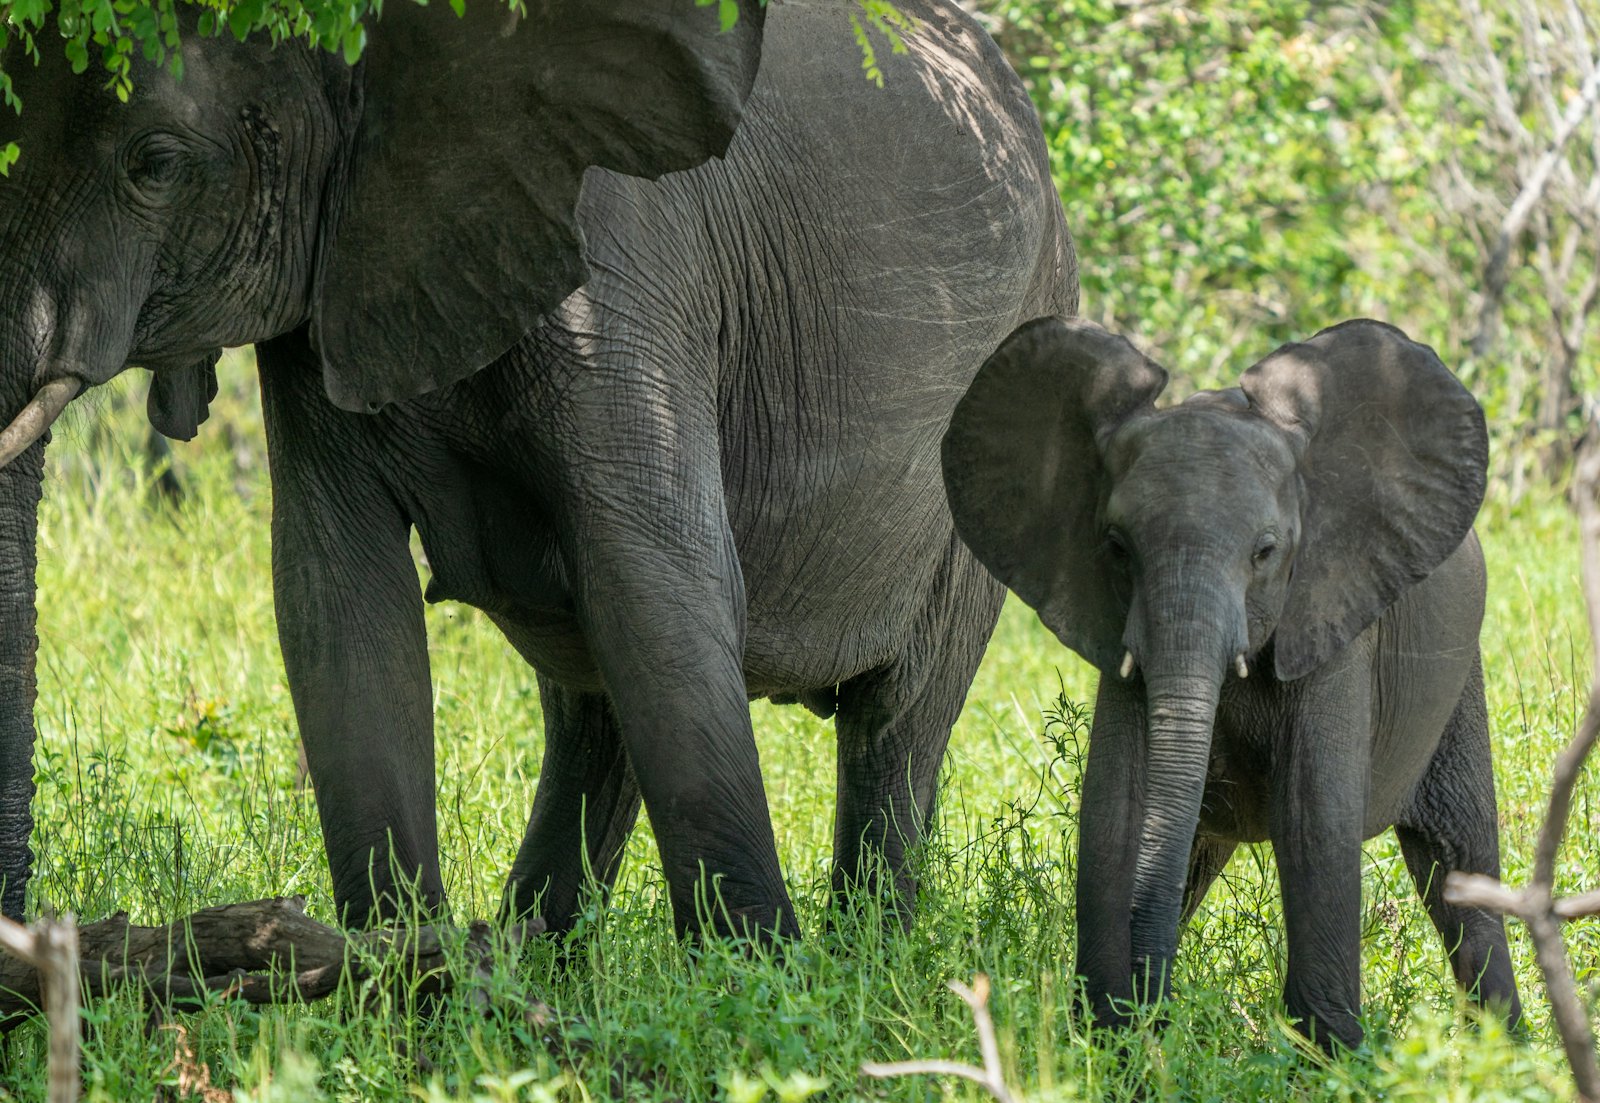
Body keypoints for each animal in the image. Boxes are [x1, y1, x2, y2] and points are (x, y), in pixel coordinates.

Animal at [0, 0, 1076, 940]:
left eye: (155, 163)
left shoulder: (625, 266)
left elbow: (659, 580)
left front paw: (760, 986)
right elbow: (340, 599)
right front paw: (404, 980)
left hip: (1014, 360)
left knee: (895, 721)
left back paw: (861, 968)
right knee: (594, 707)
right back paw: (535, 957)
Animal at [942, 317, 1521, 1051]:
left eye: (1265, 552)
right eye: (1116, 547)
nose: (1151, 1019)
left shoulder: (1333, 613)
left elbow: (1313, 815)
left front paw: (1329, 1059)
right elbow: (1116, 807)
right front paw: (1106, 1043)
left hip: (1458, 675)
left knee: (1459, 865)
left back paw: (1511, 1055)